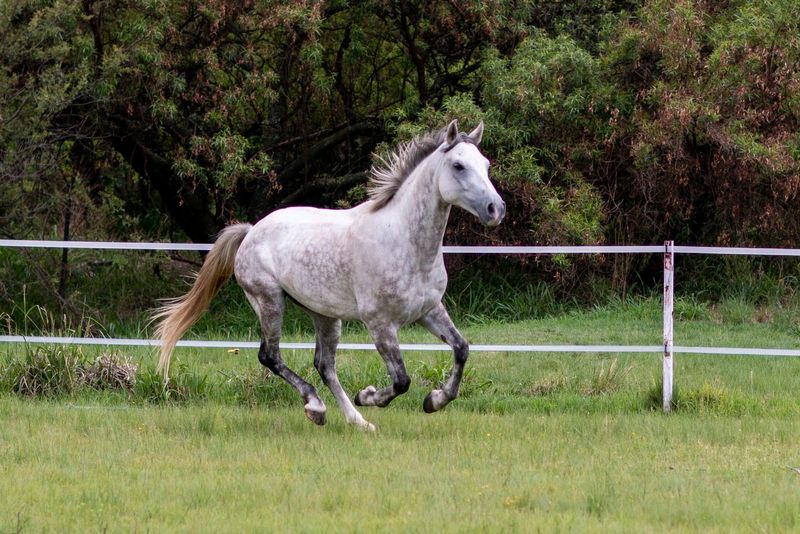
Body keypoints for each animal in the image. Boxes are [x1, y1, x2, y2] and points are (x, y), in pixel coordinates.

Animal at [153, 121, 504, 432]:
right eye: (458, 165)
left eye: (486, 164)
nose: (495, 209)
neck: (404, 241)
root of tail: (251, 231)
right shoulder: (379, 323)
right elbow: (401, 381)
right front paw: (369, 395)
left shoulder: (428, 310)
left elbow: (461, 349)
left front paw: (434, 400)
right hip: (269, 301)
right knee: (270, 356)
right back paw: (316, 407)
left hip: (324, 314)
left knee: (324, 366)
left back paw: (358, 422)